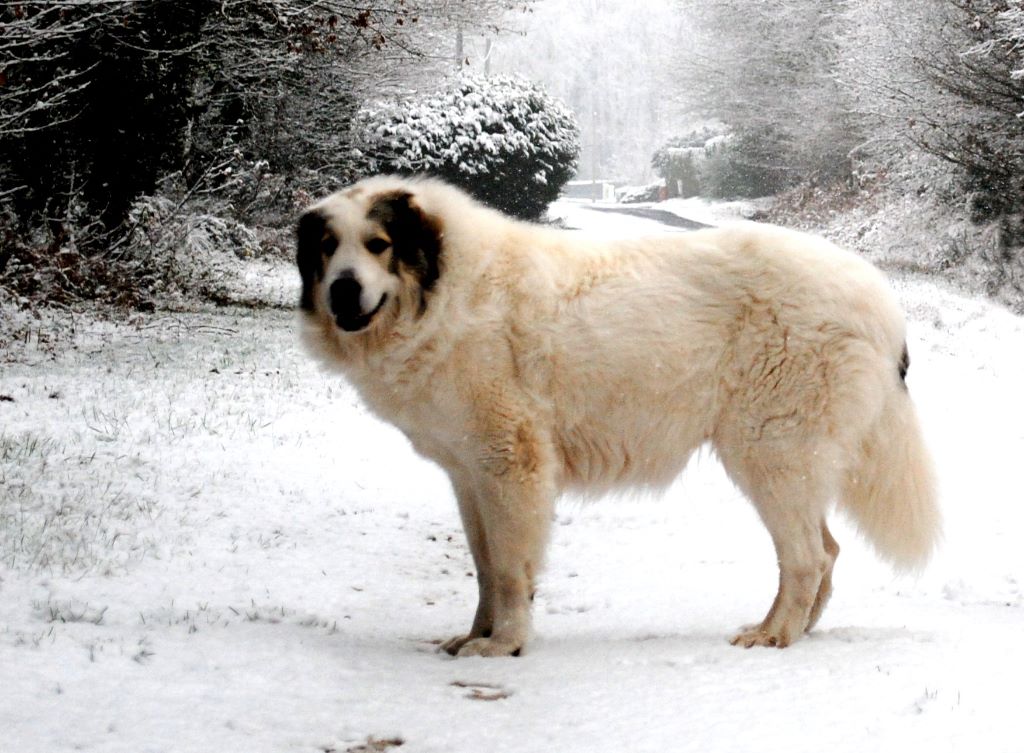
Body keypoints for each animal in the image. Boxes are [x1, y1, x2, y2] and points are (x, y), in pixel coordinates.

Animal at [294, 174, 937, 655]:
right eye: (328, 248)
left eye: (378, 244)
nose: (342, 291)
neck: (447, 288)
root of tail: (877, 296)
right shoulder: (469, 474)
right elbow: (484, 567)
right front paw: (474, 634)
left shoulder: (509, 466)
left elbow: (508, 570)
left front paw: (503, 645)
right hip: (790, 461)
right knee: (826, 552)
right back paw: (798, 631)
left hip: (769, 455)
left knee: (806, 557)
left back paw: (773, 634)